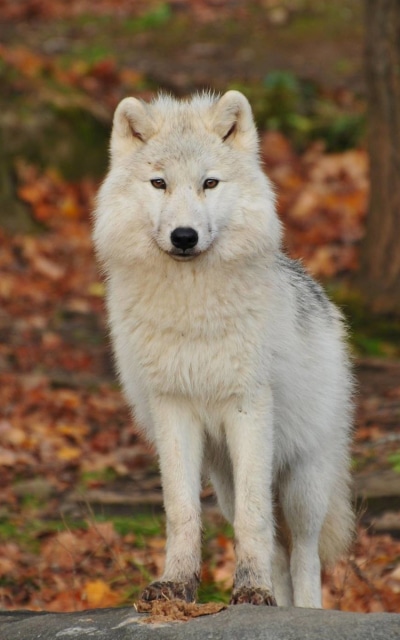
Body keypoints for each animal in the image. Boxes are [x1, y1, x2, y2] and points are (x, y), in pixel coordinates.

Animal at [93, 90, 354, 608]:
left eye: (209, 183)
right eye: (159, 183)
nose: (184, 237)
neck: (192, 310)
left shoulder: (247, 407)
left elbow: (256, 520)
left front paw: (250, 589)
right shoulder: (172, 408)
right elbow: (181, 512)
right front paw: (176, 585)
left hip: (303, 482)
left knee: (304, 554)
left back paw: (303, 609)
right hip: (224, 479)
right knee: (277, 551)